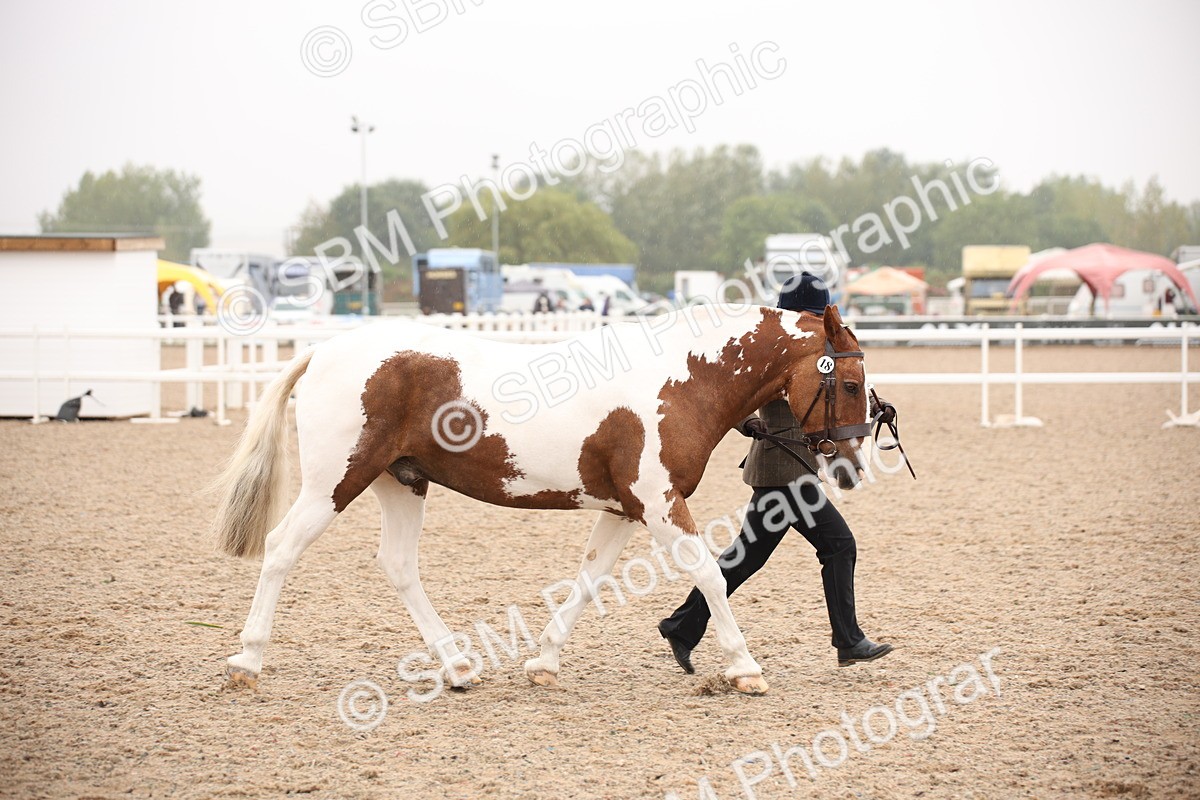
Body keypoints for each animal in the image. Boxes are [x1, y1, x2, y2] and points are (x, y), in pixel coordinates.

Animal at [212, 302, 870, 696]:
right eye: (851, 383)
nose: (852, 468)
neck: (682, 380)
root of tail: (322, 351)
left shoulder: (624, 511)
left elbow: (588, 580)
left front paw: (543, 663)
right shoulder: (658, 505)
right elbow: (709, 573)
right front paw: (744, 667)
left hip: (401, 482)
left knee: (398, 565)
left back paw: (457, 668)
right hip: (334, 483)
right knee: (281, 548)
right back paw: (247, 662)